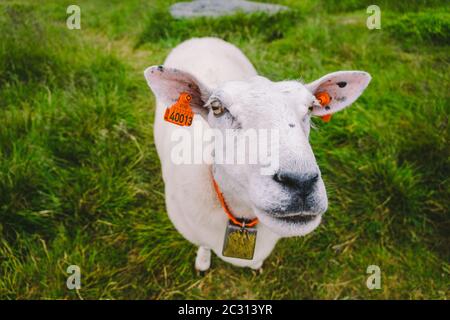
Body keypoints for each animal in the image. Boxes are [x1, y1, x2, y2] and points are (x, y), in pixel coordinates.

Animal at [145, 38, 372, 272]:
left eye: (311, 107)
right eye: (217, 107)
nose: (301, 182)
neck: (242, 214)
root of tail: (201, 39)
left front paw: (256, 265)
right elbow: (204, 245)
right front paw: (203, 261)